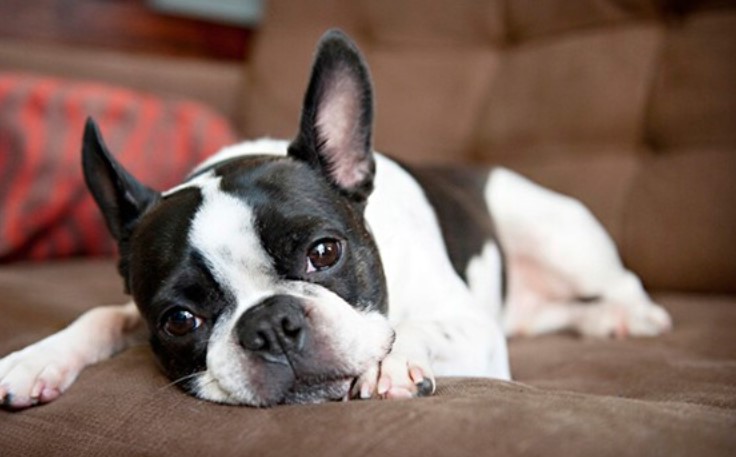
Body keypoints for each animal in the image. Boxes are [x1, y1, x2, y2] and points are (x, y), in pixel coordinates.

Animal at [0, 28, 672, 406]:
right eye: (178, 320)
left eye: (324, 252)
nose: (271, 324)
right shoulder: (132, 310)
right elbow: (100, 315)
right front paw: (34, 360)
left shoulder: (475, 332)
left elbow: (420, 326)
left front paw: (393, 360)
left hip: (556, 233)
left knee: (621, 282)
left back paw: (634, 316)